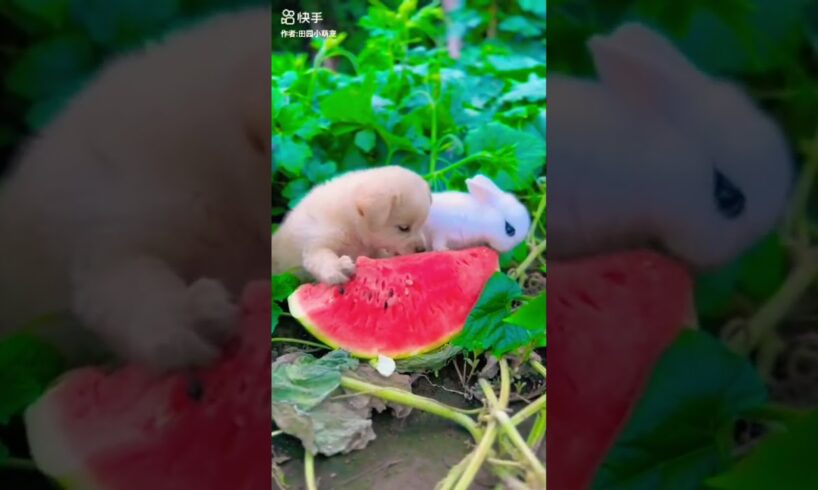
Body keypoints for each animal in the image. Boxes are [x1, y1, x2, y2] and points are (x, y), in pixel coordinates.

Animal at [270, 167, 430, 286]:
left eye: (422, 224)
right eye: (403, 228)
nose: (422, 250)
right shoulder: (317, 242)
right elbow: (322, 255)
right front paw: (338, 267)